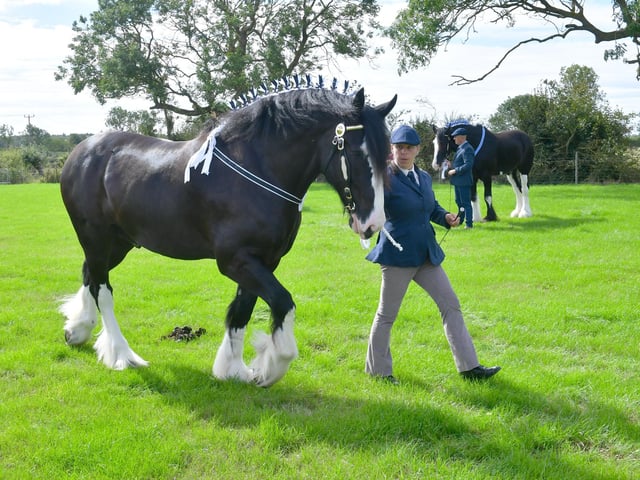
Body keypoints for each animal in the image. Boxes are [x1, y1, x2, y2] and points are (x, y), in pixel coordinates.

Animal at [59, 86, 397, 387]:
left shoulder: (263, 261)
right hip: (96, 239)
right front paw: (270, 368)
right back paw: (121, 355)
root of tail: (81, 151)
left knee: (89, 274)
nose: (373, 222)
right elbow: (282, 303)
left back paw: (78, 329)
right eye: (355, 151)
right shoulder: (236, 261)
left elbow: (241, 311)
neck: (257, 171)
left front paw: (232, 370)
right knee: (103, 289)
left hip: (119, 244)